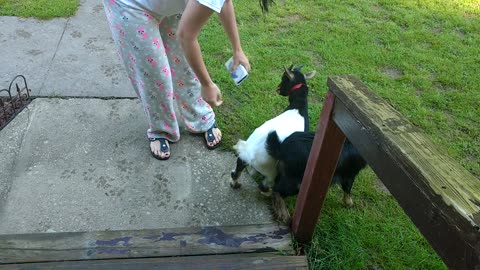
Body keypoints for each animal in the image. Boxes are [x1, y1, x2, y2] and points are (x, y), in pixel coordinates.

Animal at [232, 64, 316, 193]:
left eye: (283, 79)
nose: (278, 89)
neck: (298, 107)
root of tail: (250, 154)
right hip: (270, 170)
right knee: (266, 184)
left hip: (244, 157)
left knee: (237, 169)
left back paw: (235, 184)